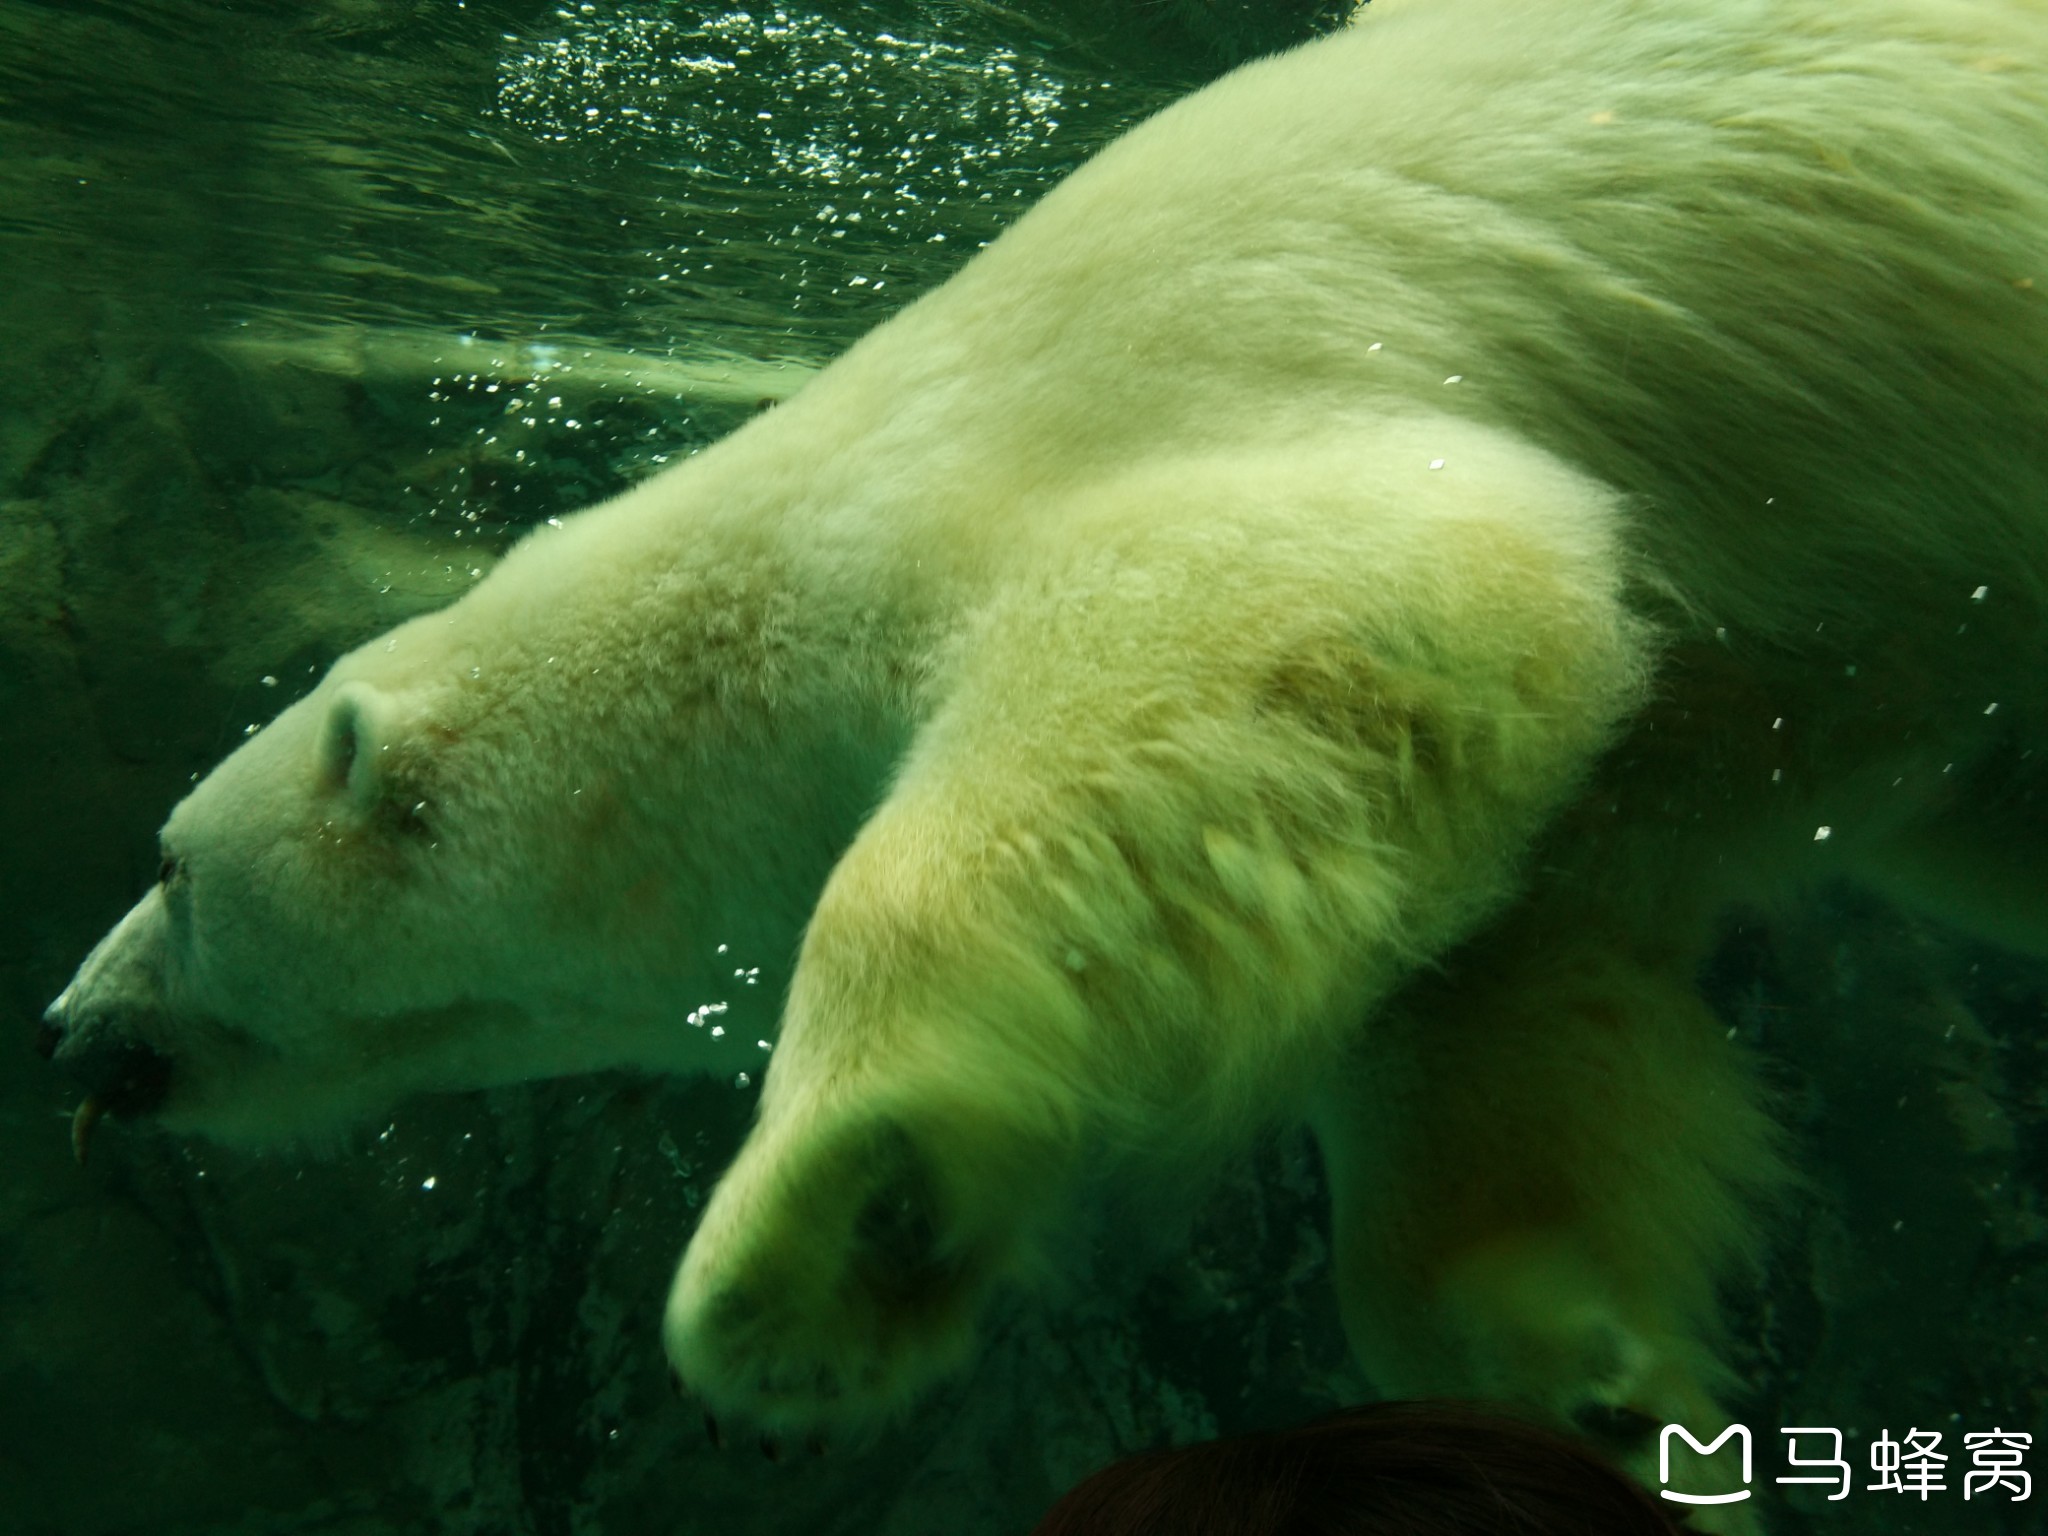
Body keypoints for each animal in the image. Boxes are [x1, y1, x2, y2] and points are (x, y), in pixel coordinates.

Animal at [36, 0, 2048, 1507]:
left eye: (165, 867)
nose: (66, 1030)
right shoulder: (1614, 787)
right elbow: (1507, 997)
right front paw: (1588, 1382)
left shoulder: (1144, 431)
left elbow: (1318, 608)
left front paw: (818, 1246)